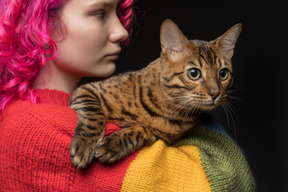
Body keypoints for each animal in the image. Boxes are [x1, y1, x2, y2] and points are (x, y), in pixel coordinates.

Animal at [68, 19, 242, 169]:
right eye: (194, 73)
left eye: (223, 74)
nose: (215, 93)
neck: (168, 108)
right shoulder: (88, 89)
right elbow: (94, 116)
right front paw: (84, 145)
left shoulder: (161, 139)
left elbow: (142, 131)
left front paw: (115, 144)